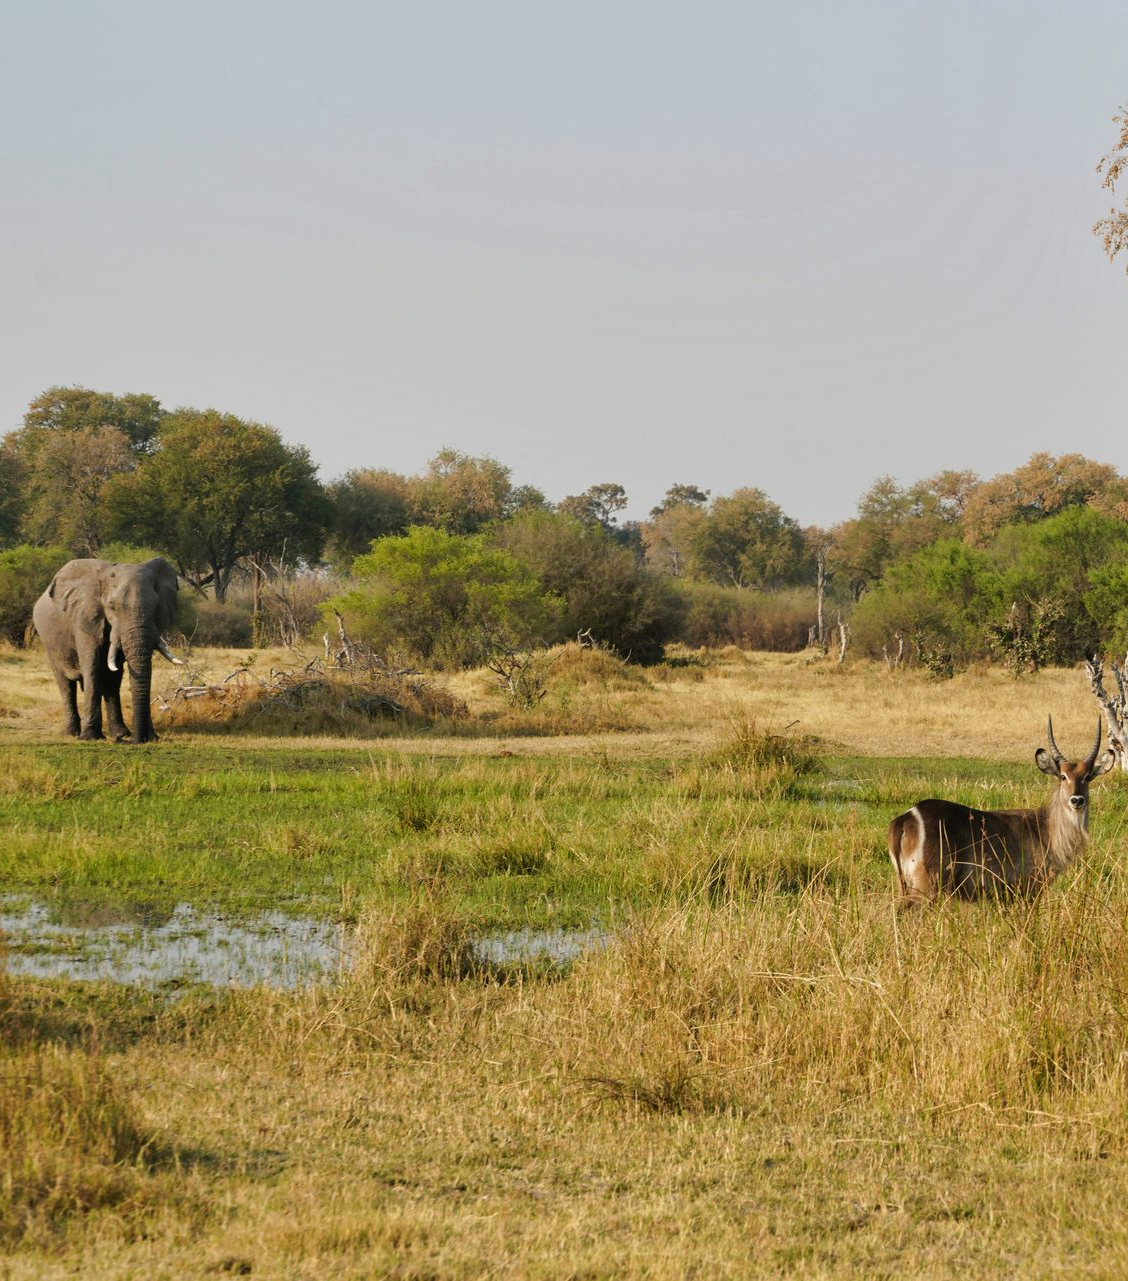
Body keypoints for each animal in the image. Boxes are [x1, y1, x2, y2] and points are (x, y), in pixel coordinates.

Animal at [33, 557, 183, 743]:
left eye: (156, 606)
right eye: (112, 606)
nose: (138, 740)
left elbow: (114, 674)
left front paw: (137, 736)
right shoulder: (85, 618)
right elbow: (92, 667)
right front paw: (90, 738)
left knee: (111, 681)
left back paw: (120, 733)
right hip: (49, 642)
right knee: (65, 684)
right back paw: (71, 734)